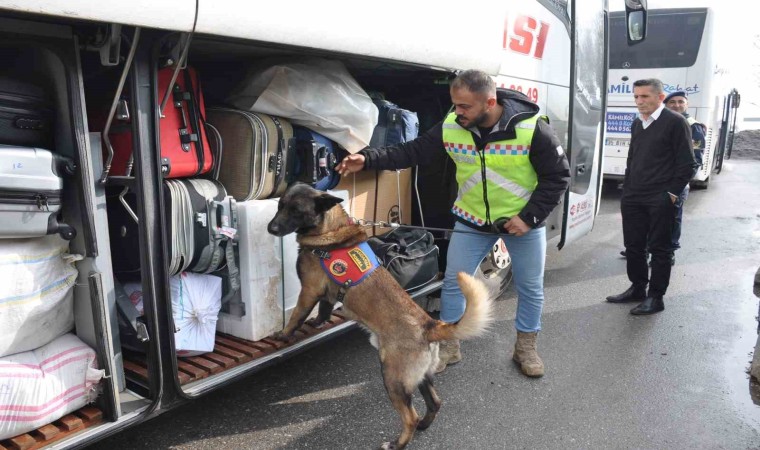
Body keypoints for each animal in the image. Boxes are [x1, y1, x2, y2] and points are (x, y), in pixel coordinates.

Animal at [268, 184, 492, 450]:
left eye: (297, 210)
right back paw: (424, 426)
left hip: (393, 378)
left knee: (410, 417)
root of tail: (429, 325)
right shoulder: (326, 294)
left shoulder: (309, 291)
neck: (331, 230)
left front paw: (283, 335)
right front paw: (317, 322)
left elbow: (296, 317)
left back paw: (398, 443)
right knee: (435, 403)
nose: (271, 229)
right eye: (280, 205)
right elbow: (323, 309)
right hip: (420, 377)